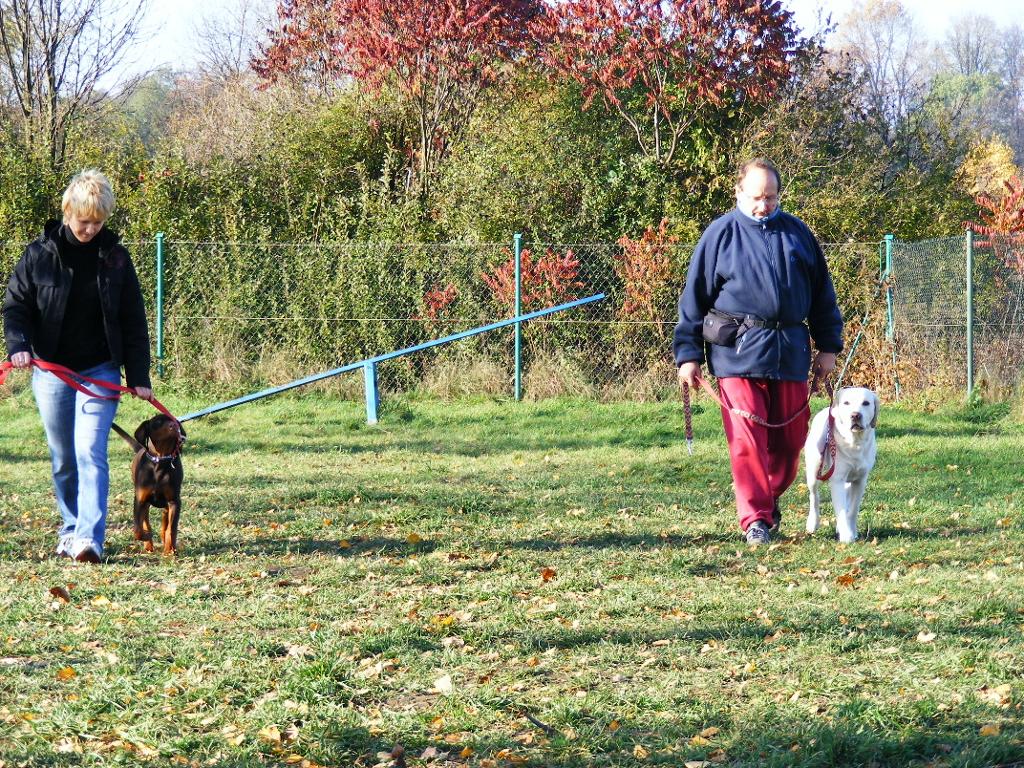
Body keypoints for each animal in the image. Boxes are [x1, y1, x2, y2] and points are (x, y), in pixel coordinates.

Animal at [113, 417, 189, 557]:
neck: (161, 460)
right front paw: (147, 537)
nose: (173, 425)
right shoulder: (140, 500)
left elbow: (172, 528)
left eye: (173, 420)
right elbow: (138, 528)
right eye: (157, 422)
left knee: (165, 520)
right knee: (146, 521)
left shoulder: (174, 501)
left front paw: (170, 550)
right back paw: (148, 544)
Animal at [802, 387, 876, 544]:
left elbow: (853, 509)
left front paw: (851, 530)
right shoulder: (837, 479)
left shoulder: (860, 480)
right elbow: (840, 509)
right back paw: (812, 523)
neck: (854, 443)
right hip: (814, 468)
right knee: (814, 496)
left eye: (866, 403)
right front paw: (846, 535)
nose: (855, 415)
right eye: (846, 403)